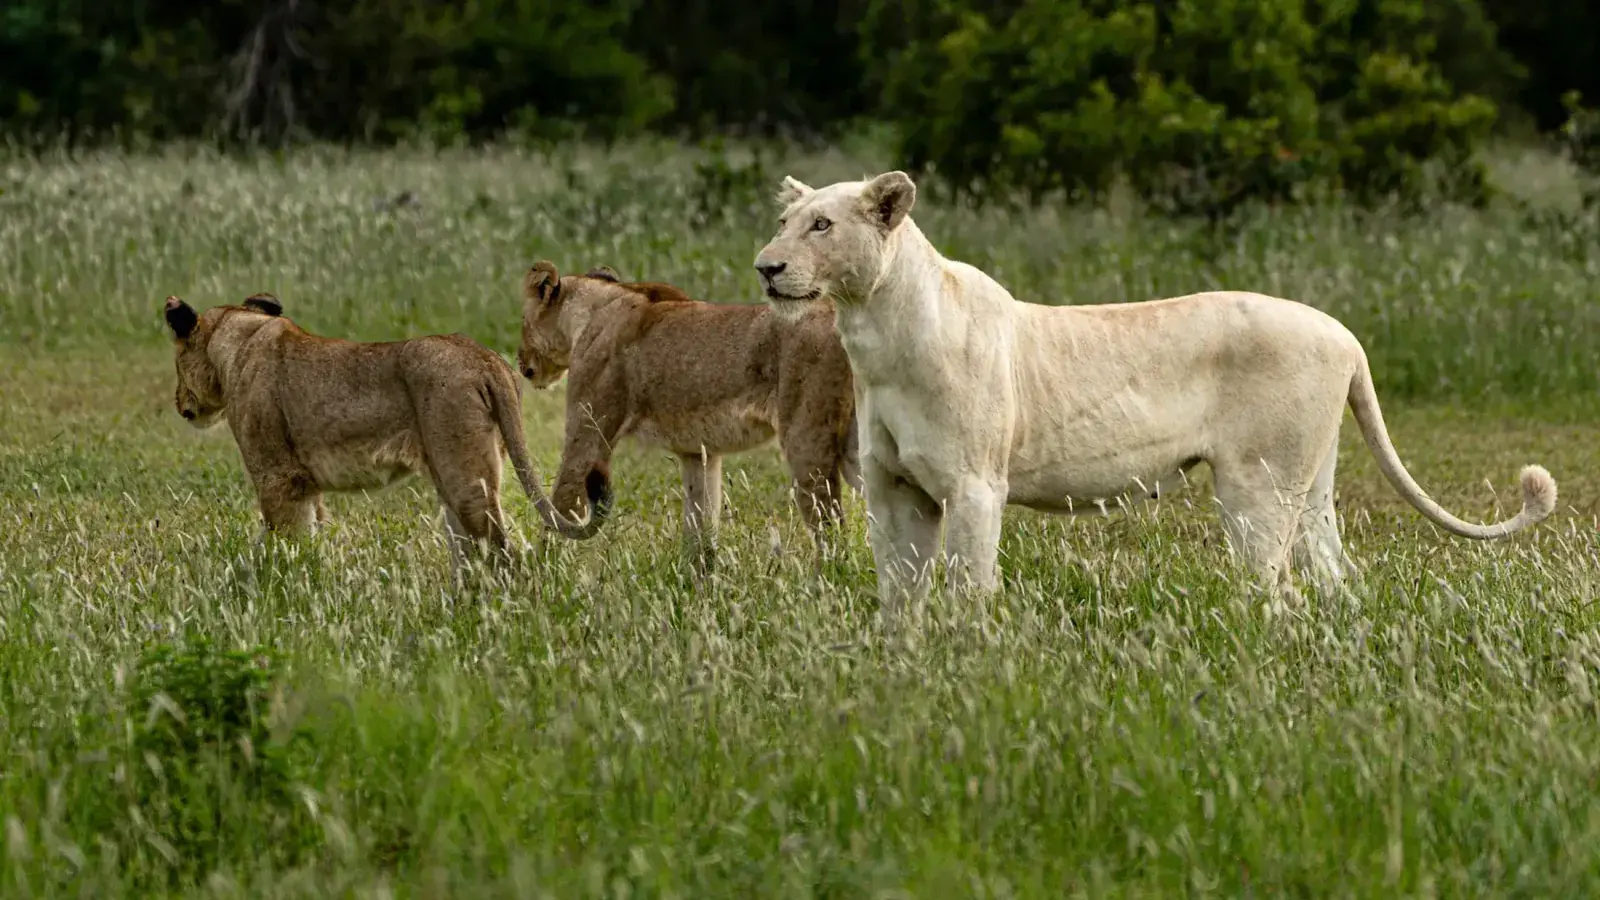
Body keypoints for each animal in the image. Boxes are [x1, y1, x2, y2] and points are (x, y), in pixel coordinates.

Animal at [162, 293, 608, 576]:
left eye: (177, 360)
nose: (178, 402)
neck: (237, 340)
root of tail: (485, 359)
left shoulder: (277, 477)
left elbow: (282, 543)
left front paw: (279, 590)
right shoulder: (304, 484)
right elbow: (308, 537)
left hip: (465, 482)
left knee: (506, 553)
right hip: (458, 477)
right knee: (470, 551)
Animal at [516, 261, 860, 574]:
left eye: (522, 321)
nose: (519, 361)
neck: (595, 310)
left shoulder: (587, 432)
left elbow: (561, 504)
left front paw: (540, 577)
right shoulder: (699, 451)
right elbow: (700, 525)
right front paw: (699, 582)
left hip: (806, 440)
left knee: (831, 529)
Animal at [752, 171, 1558, 612]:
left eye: (821, 225)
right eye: (783, 222)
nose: (765, 267)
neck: (875, 334)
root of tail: (1347, 336)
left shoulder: (975, 485)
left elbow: (968, 588)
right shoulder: (895, 490)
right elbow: (898, 595)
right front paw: (903, 670)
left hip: (1256, 488)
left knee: (1280, 593)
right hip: (1310, 483)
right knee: (1334, 579)